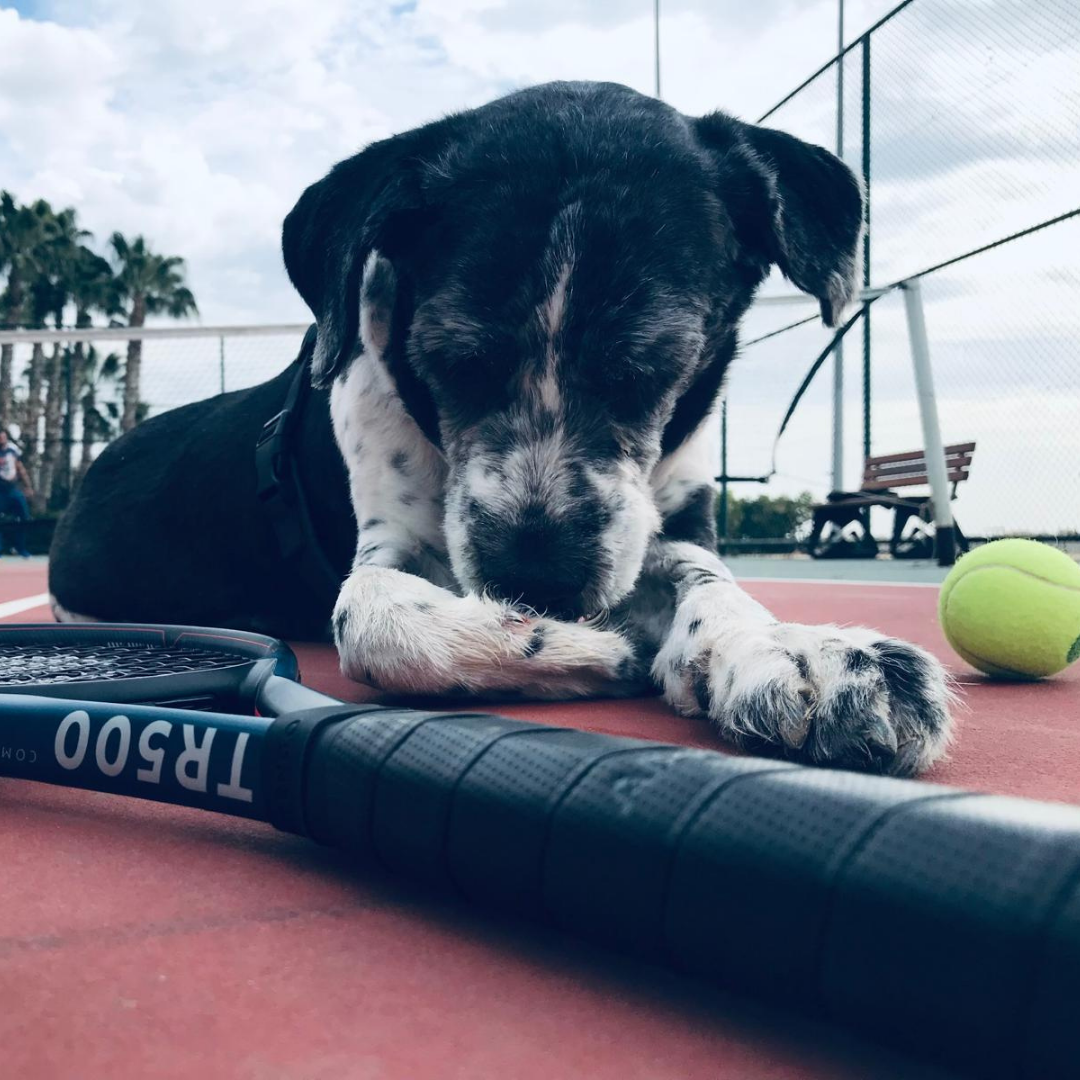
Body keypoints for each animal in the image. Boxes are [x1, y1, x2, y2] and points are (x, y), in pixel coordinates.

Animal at [50, 81, 952, 776]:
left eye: (656, 365)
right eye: (453, 360)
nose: (538, 581)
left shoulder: (671, 525)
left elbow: (713, 585)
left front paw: (799, 652)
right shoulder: (393, 547)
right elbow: (375, 616)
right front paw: (581, 653)